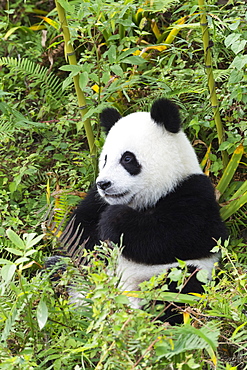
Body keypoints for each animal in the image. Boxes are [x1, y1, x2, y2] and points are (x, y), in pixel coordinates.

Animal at [52, 97, 228, 324]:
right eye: (105, 159)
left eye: (127, 159)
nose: (104, 184)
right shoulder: (95, 200)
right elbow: (78, 231)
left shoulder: (195, 194)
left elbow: (183, 236)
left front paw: (113, 221)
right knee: (55, 269)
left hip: (175, 274)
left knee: (181, 286)